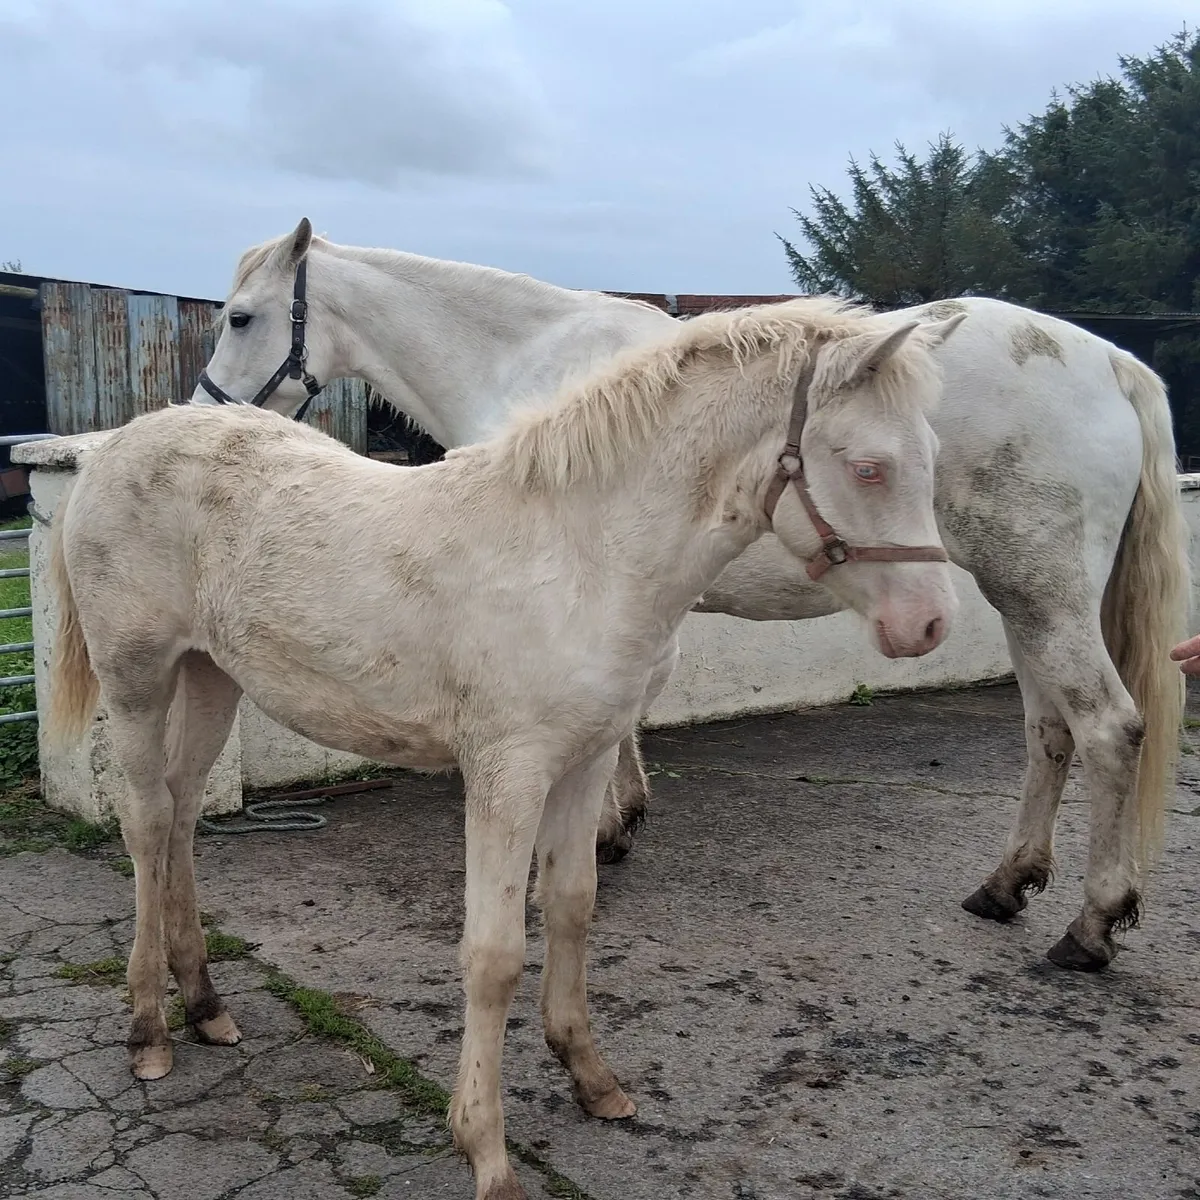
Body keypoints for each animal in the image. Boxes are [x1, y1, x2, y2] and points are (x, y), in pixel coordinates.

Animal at [49, 297, 957, 1200]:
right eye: (869, 468)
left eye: (931, 461)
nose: (928, 625)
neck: (585, 553)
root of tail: (113, 448)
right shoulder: (506, 771)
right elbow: (492, 955)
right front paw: (486, 1151)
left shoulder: (588, 759)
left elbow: (572, 907)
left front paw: (592, 1078)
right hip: (137, 679)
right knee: (144, 821)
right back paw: (148, 1031)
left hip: (213, 676)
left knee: (181, 814)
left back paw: (205, 1004)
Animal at [194, 220, 1190, 973]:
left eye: (240, 317)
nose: (203, 411)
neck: (524, 358)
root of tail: (1108, 359)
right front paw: (621, 820)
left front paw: (602, 828)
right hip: (1024, 600)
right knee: (1049, 732)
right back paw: (1007, 883)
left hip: (1043, 594)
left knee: (1108, 730)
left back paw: (1093, 924)